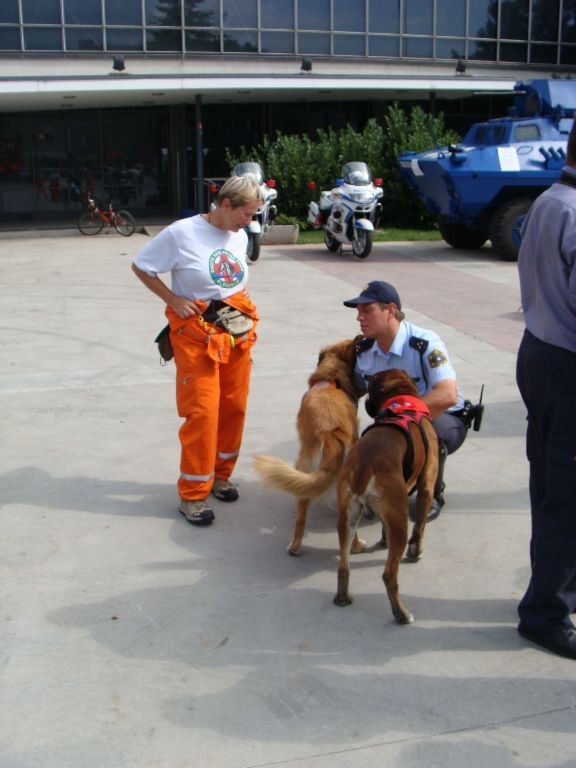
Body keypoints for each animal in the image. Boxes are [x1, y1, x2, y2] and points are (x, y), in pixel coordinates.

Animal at [254, 340, 362, 556]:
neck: (332, 377)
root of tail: (331, 432)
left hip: (304, 465)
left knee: (302, 512)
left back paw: (295, 547)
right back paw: (355, 547)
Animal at [330, 368, 438, 628]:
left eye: (370, 388)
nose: (366, 402)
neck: (401, 402)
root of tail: (364, 467)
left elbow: (383, 527)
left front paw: (382, 539)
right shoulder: (426, 485)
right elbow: (420, 527)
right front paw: (416, 551)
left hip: (347, 519)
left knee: (343, 566)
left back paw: (342, 598)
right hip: (399, 523)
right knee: (389, 575)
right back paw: (401, 614)